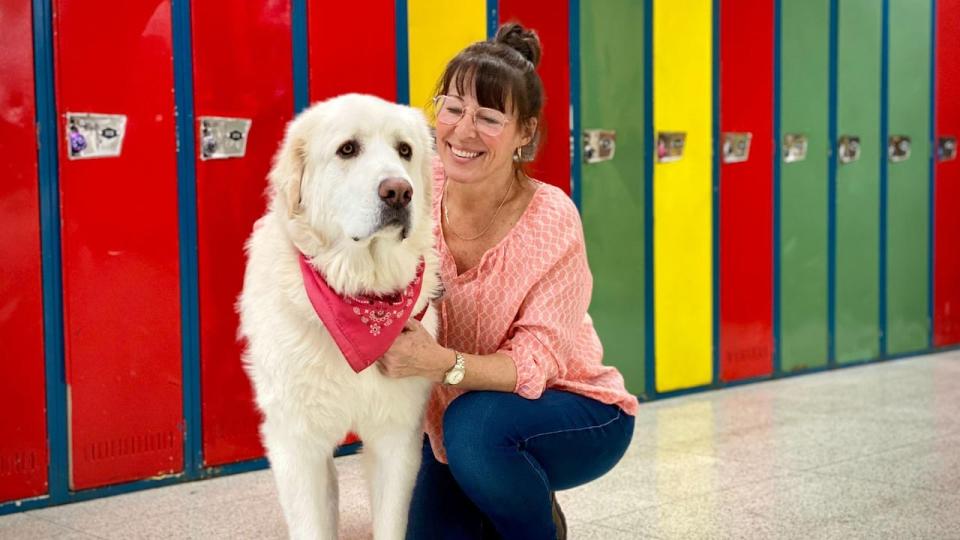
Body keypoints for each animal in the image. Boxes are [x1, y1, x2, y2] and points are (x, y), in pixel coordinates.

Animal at [238, 94, 440, 540]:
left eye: (404, 150)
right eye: (348, 149)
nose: (399, 191)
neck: (358, 295)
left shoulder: (395, 435)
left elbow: (391, 523)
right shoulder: (298, 443)